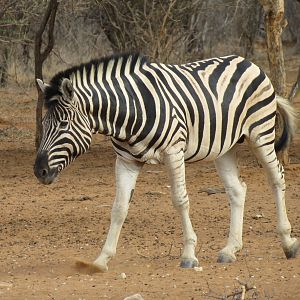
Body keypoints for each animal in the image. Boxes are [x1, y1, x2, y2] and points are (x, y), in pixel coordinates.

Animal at [34, 52, 298, 272]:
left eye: (63, 124)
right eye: (44, 124)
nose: (39, 171)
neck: (129, 113)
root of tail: (246, 61)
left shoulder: (174, 151)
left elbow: (180, 200)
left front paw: (189, 255)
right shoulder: (126, 161)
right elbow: (118, 208)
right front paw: (101, 260)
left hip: (260, 133)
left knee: (277, 179)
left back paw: (288, 243)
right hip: (225, 147)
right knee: (237, 190)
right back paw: (230, 250)